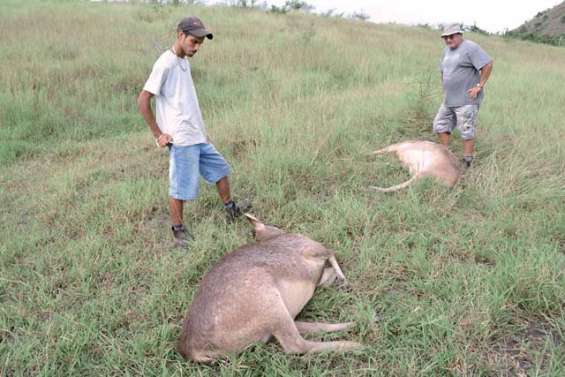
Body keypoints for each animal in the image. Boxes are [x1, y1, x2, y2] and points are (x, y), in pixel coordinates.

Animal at [177, 214, 362, 362]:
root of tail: (191, 351)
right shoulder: (314, 248)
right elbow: (332, 253)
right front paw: (344, 280)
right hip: (269, 302)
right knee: (295, 344)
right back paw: (354, 344)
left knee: (302, 328)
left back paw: (354, 324)